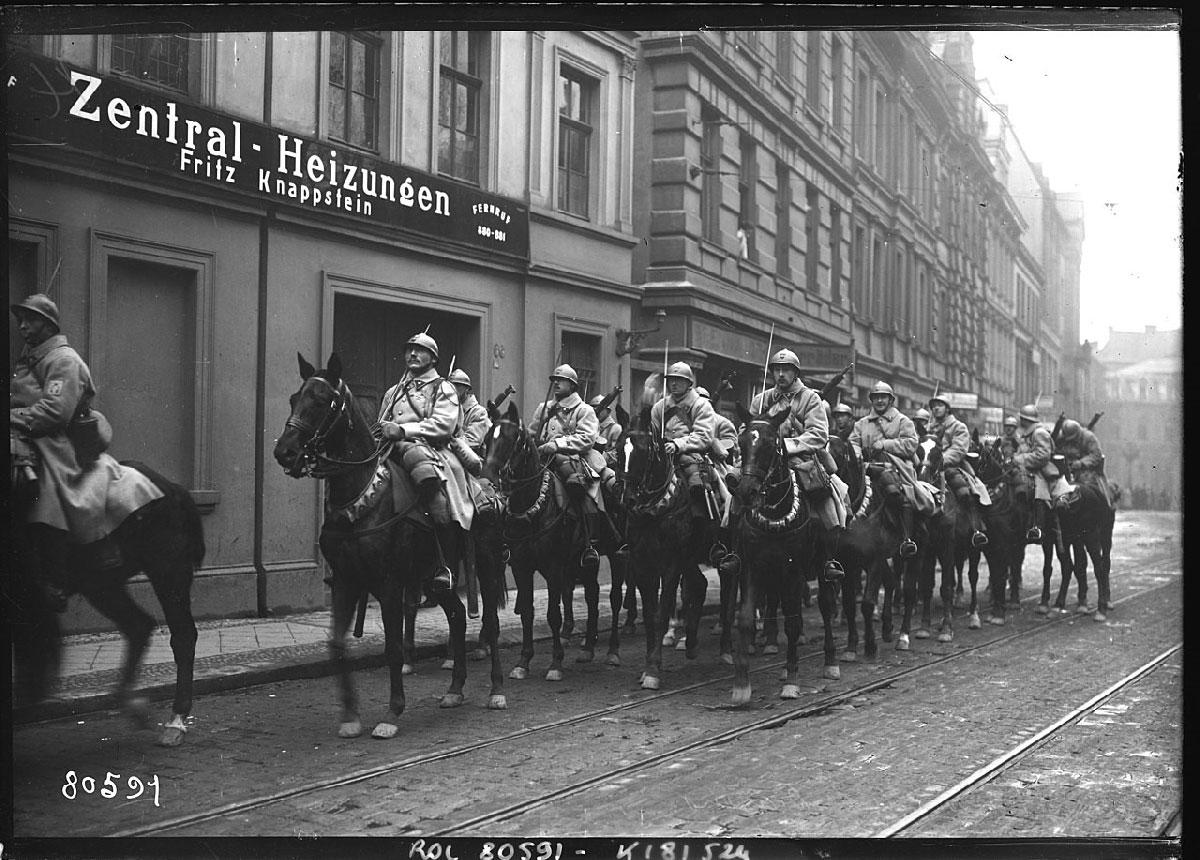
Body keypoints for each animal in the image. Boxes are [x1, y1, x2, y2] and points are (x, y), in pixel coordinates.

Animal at [9, 455, 204, 743]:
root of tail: (172, 488)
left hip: (168, 570)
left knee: (182, 636)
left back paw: (175, 722)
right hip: (101, 585)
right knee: (138, 626)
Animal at [274, 352, 506, 734]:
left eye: (321, 401)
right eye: (295, 398)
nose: (285, 452)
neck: (361, 497)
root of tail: (486, 484)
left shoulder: (389, 584)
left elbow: (393, 648)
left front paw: (392, 713)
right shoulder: (346, 581)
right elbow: (336, 645)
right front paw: (351, 717)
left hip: (485, 565)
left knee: (489, 622)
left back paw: (497, 691)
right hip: (435, 576)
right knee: (457, 617)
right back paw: (454, 690)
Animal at [619, 379, 720, 686]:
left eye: (642, 451)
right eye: (617, 449)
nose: (627, 500)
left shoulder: (671, 564)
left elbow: (662, 612)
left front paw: (653, 670)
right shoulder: (642, 564)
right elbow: (651, 615)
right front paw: (651, 663)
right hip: (691, 559)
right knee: (699, 585)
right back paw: (691, 644)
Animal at [729, 405, 835, 700]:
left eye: (770, 444)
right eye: (742, 442)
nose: (746, 492)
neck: (775, 511)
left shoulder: (794, 571)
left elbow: (793, 623)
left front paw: (793, 681)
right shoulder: (752, 567)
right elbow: (744, 619)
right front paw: (741, 685)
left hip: (822, 566)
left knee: (826, 606)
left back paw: (830, 662)